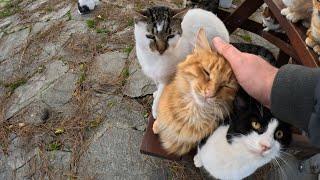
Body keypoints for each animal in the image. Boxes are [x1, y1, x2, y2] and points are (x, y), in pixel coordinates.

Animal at [152, 28, 238, 156]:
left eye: (225, 86)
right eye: (206, 72)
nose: (209, 93)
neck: (191, 112)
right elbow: (160, 121)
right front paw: (156, 126)